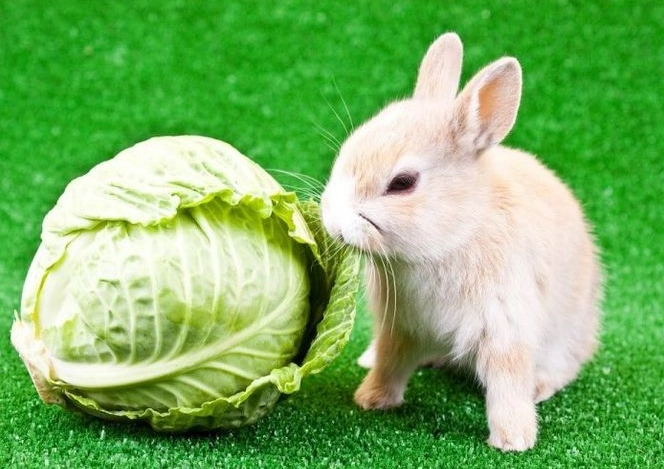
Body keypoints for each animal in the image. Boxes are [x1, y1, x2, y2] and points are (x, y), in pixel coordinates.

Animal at [320, 32, 601, 452]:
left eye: (402, 183)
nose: (334, 225)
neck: (453, 236)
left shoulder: (505, 326)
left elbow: (506, 384)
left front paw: (513, 440)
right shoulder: (400, 326)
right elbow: (390, 362)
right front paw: (371, 399)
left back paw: (539, 387)